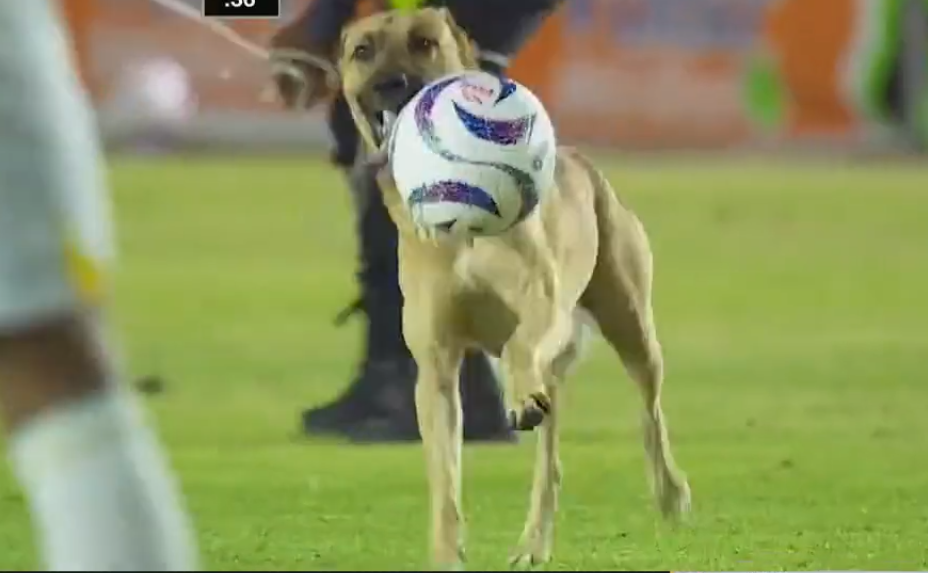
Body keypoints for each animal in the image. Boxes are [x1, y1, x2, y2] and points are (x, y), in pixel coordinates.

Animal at [338, 7, 692, 568]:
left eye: (424, 42)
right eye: (362, 51)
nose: (391, 84)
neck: (459, 233)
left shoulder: (543, 304)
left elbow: (521, 343)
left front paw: (518, 394)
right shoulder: (436, 365)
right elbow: (445, 479)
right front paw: (447, 552)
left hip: (632, 327)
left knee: (648, 413)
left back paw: (669, 493)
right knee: (550, 464)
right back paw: (533, 541)